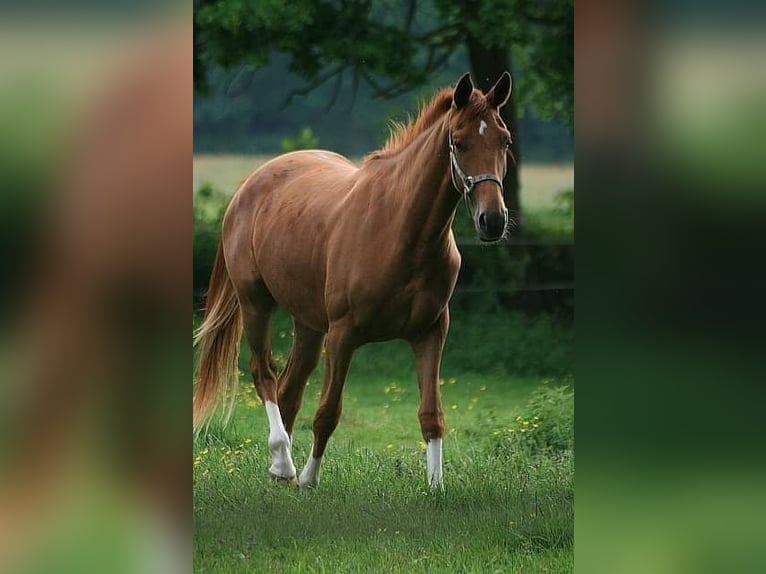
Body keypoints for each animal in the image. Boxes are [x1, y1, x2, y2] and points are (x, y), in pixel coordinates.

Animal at [195, 70, 512, 488]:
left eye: (504, 140)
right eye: (458, 143)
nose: (492, 221)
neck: (400, 231)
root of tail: (251, 182)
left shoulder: (431, 332)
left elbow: (431, 415)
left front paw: (436, 488)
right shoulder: (343, 335)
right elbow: (328, 412)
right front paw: (308, 480)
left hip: (308, 324)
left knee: (289, 389)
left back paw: (279, 472)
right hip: (255, 304)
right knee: (265, 375)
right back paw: (284, 464)